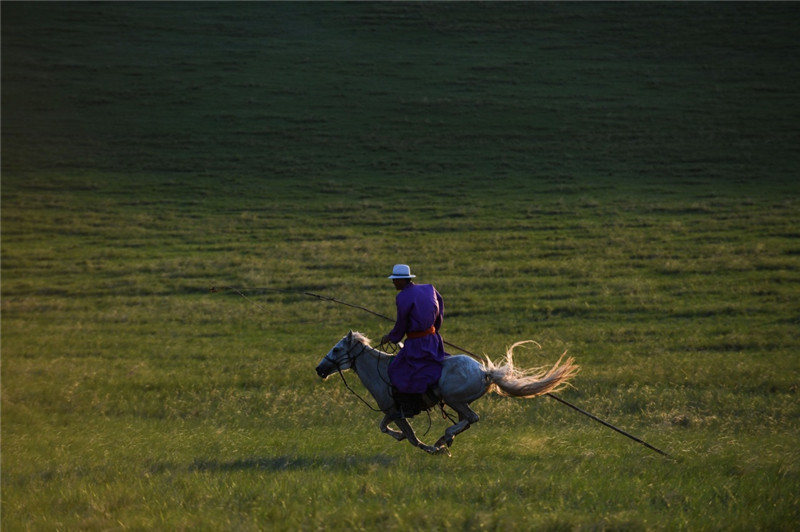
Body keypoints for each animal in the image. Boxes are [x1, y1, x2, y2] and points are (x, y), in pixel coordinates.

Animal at [316, 330, 580, 456]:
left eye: (336, 349)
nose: (319, 369)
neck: (380, 370)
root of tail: (484, 371)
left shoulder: (397, 412)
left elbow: (411, 437)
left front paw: (432, 449)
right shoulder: (392, 412)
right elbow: (384, 427)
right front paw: (403, 438)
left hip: (454, 400)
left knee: (471, 418)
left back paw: (445, 438)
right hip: (457, 402)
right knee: (468, 420)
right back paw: (447, 437)